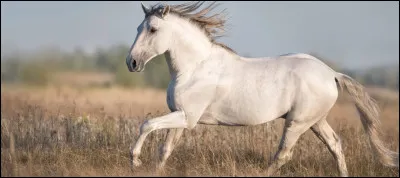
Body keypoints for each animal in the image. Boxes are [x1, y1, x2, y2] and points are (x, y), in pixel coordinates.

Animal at [126, 1, 398, 177]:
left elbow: (146, 125)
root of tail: (331, 74)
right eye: (138, 28)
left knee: (283, 154)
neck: (195, 67)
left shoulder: (186, 118)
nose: (132, 63)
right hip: (315, 121)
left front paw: (135, 161)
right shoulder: (182, 117)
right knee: (335, 145)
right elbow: (165, 150)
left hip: (297, 123)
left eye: (153, 29)